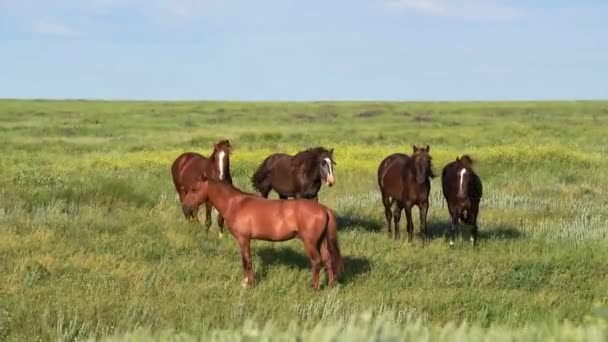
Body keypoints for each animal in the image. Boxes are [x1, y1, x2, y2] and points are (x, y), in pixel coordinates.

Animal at [180, 174, 344, 288]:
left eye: (194, 189)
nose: (185, 207)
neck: (235, 204)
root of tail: (324, 209)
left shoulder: (243, 239)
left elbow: (246, 260)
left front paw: (248, 283)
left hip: (310, 242)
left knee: (316, 261)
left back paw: (314, 287)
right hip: (321, 241)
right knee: (328, 260)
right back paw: (331, 285)